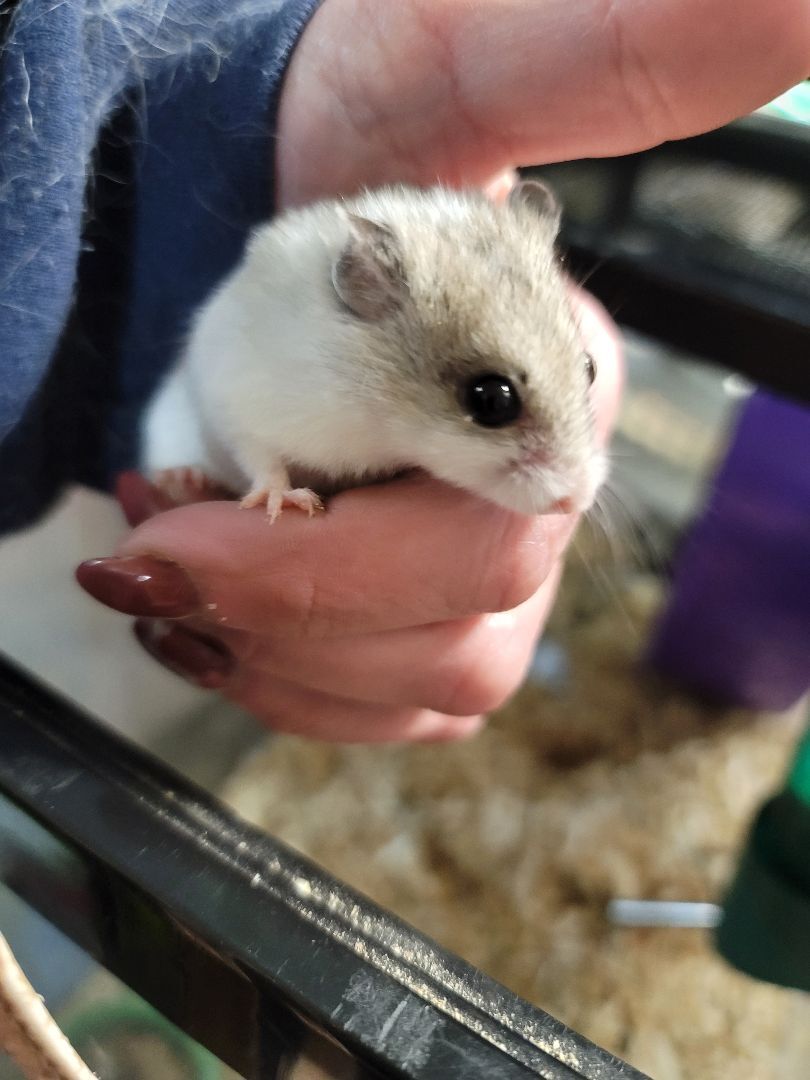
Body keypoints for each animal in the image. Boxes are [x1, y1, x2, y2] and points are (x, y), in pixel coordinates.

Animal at [142, 182, 606, 520]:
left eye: (589, 368)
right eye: (491, 398)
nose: (576, 503)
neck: (373, 406)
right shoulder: (239, 407)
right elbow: (263, 458)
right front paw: (288, 504)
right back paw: (181, 480)